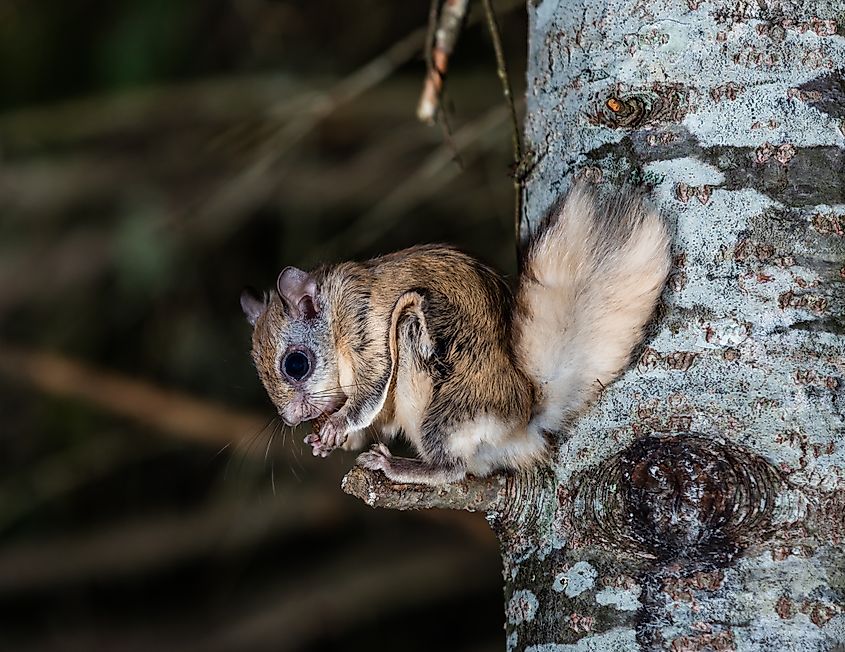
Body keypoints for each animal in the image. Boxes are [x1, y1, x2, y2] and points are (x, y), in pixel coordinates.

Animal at [240, 183, 671, 485]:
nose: (290, 420)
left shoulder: (366, 330)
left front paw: (337, 425)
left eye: (296, 364)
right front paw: (330, 441)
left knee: (454, 469)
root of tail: (521, 423)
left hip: (440, 399)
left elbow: (371, 391)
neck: (333, 315)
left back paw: (399, 466)